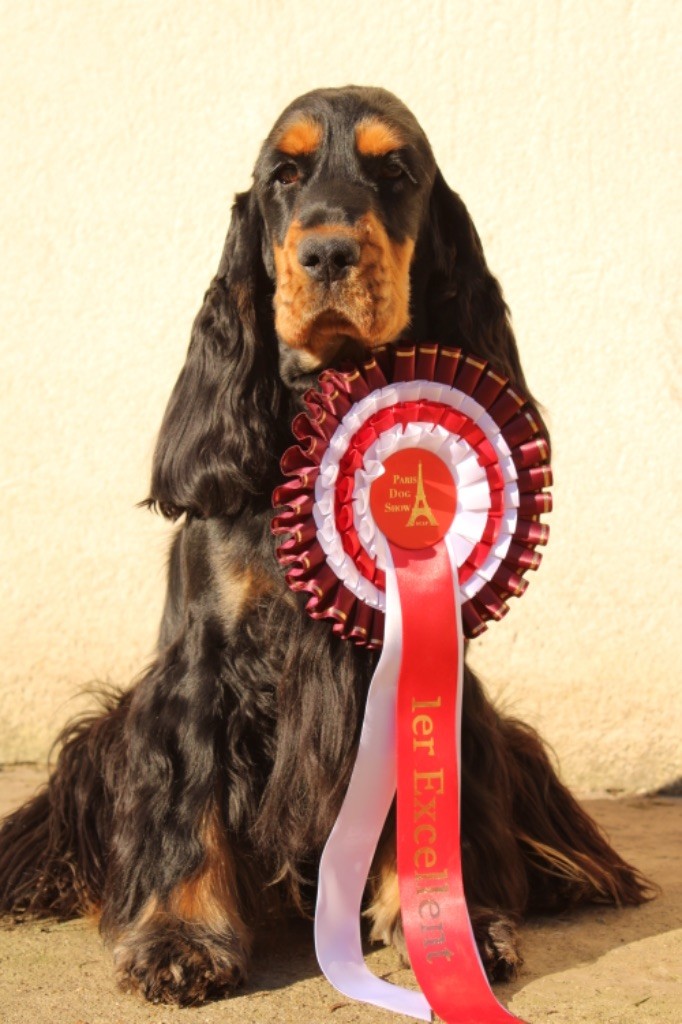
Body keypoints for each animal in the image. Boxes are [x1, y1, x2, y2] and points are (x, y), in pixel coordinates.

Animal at [0, 86, 650, 1006]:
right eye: (285, 174)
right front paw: (178, 940)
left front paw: (446, 927)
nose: (330, 251)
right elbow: (188, 802)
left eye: (395, 172)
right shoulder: (199, 665)